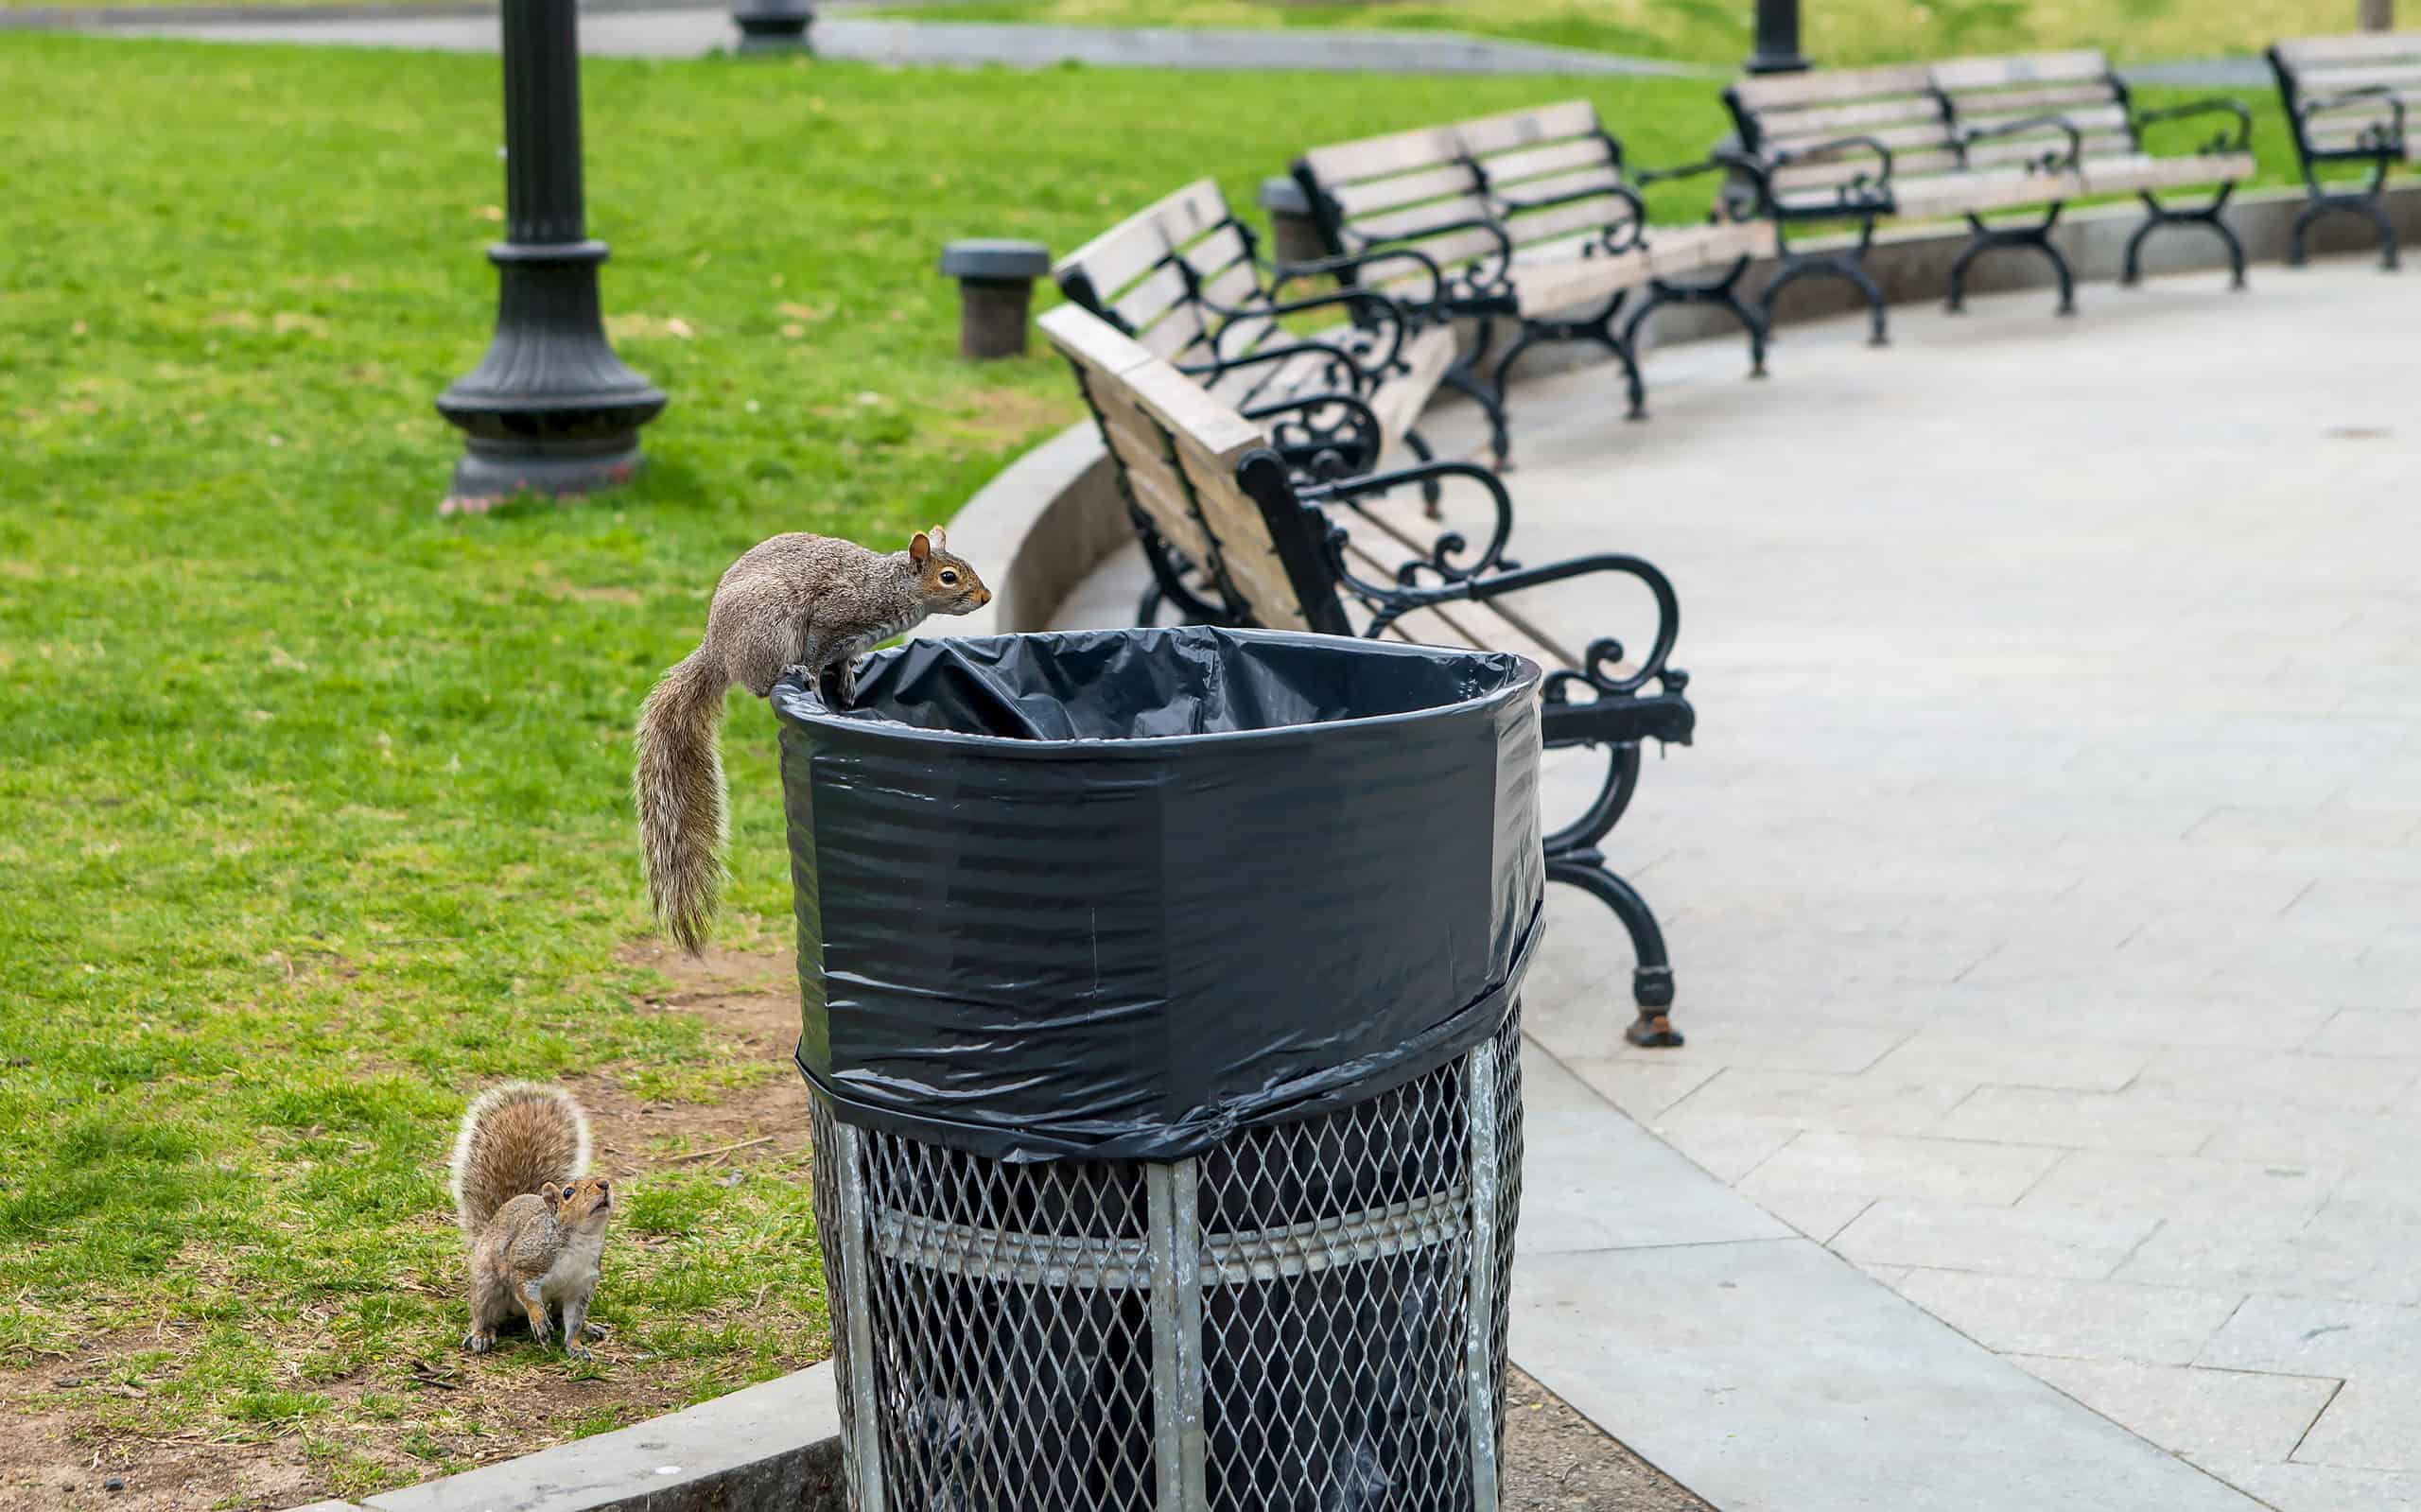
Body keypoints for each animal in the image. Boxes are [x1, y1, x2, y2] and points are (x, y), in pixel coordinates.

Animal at [450, 1084, 615, 1354]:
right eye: (568, 1193)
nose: (604, 1183)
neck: (580, 1239)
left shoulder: (580, 1286)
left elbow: (574, 1321)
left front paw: (576, 1345)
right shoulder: (525, 1261)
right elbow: (525, 1291)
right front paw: (538, 1319)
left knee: (559, 1316)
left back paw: (590, 1328)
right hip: (487, 1282)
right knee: (483, 1310)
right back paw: (482, 1334)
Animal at [638, 530, 997, 947]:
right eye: (949, 577)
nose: (986, 596)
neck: (887, 587)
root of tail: (718, 651)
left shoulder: (851, 640)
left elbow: (841, 659)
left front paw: (848, 673)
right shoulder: (832, 617)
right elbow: (816, 652)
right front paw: (812, 674)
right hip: (770, 630)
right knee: (760, 684)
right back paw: (789, 672)